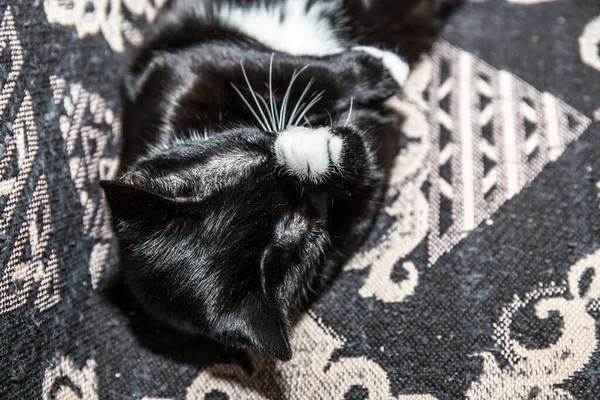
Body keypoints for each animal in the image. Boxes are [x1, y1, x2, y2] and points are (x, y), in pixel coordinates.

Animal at [102, 0, 460, 360]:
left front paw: (380, 68)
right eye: (306, 224)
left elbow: (279, 66)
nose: (302, 179)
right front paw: (342, 148)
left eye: (254, 152)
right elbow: (371, 156)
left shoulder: (174, 74)